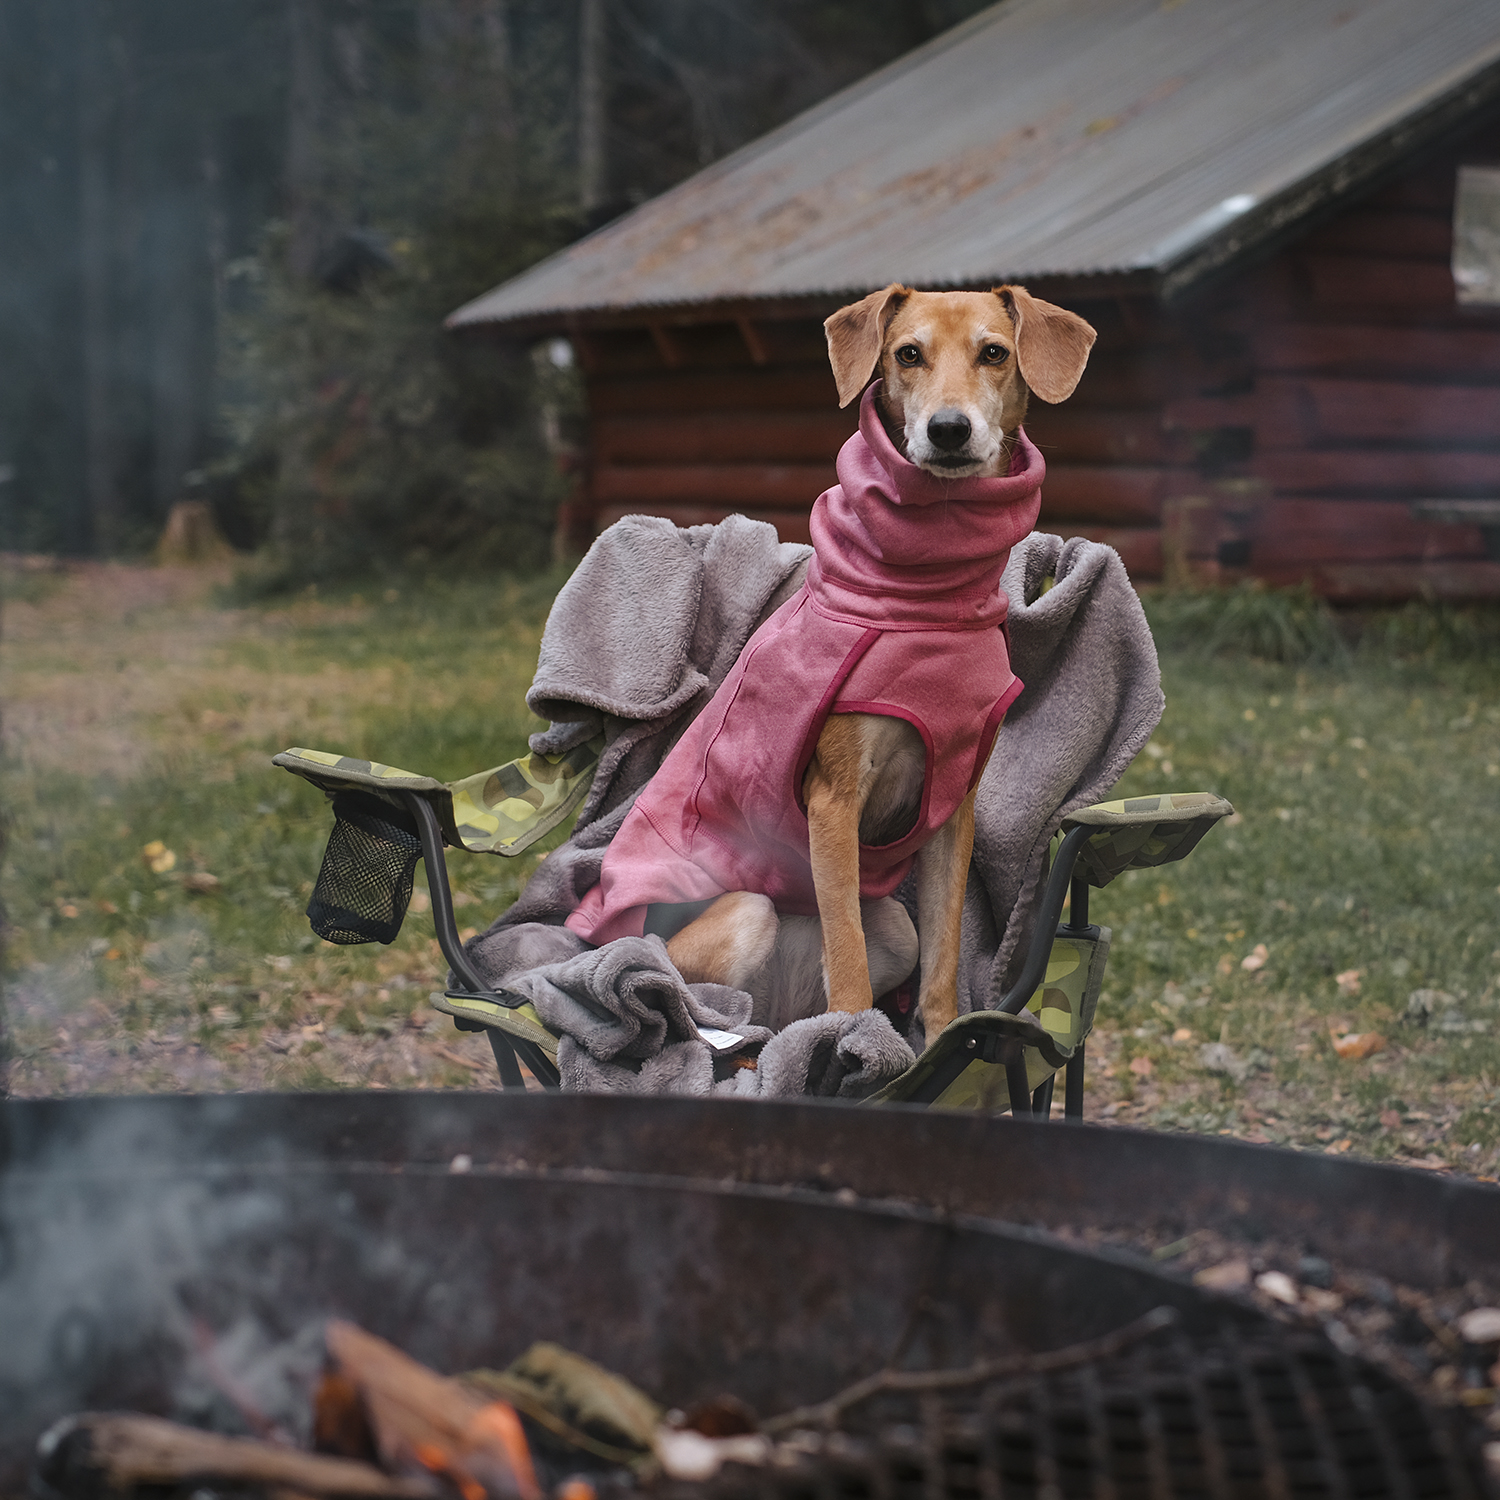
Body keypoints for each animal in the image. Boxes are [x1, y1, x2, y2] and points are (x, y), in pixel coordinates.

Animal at [567, 286, 1098, 1050]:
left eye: (994, 352)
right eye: (908, 353)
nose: (947, 430)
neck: (927, 605)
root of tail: (783, 1005)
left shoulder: (952, 807)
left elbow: (944, 957)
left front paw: (940, 1043)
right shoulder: (832, 801)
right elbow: (845, 956)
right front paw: (858, 1046)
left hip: (895, 925)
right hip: (743, 911)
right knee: (691, 1006)